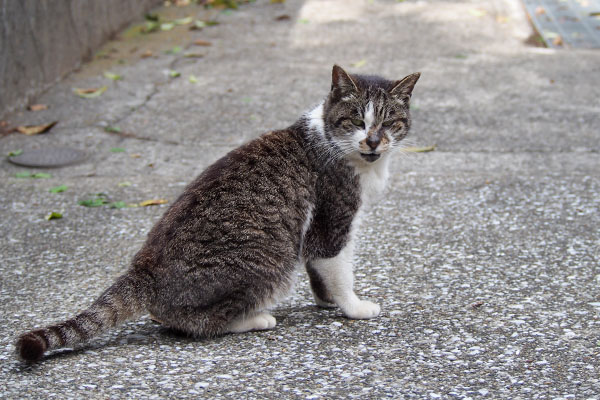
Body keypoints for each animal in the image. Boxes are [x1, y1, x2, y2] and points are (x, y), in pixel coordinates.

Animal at [15, 65, 418, 362]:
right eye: (356, 121)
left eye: (388, 122)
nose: (373, 141)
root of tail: (143, 271)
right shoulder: (333, 225)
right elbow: (340, 272)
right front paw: (353, 307)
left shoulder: (315, 234)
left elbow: (319, 273)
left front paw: (325, 301)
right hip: (272, 261)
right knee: (192, 320)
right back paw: (254, 318)